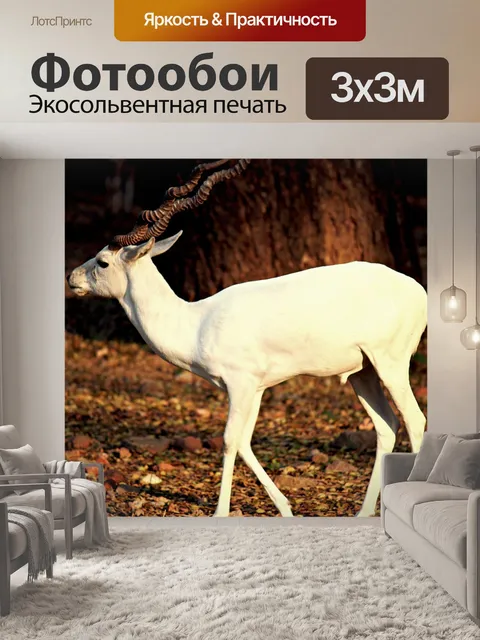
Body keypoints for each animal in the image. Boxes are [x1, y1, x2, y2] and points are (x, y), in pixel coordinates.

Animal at [67, 159, 427, 518]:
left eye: (103, 261)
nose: (71, 277)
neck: (196, 323)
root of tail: (418, 290)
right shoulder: (255, 388)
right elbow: (244, 441)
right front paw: (285, 508)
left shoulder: (239, 384)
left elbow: (229, 440)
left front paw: (220, 513)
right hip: (362, 373)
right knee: (386, 426)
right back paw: (363, 513)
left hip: (390, 365)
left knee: (415, 420)